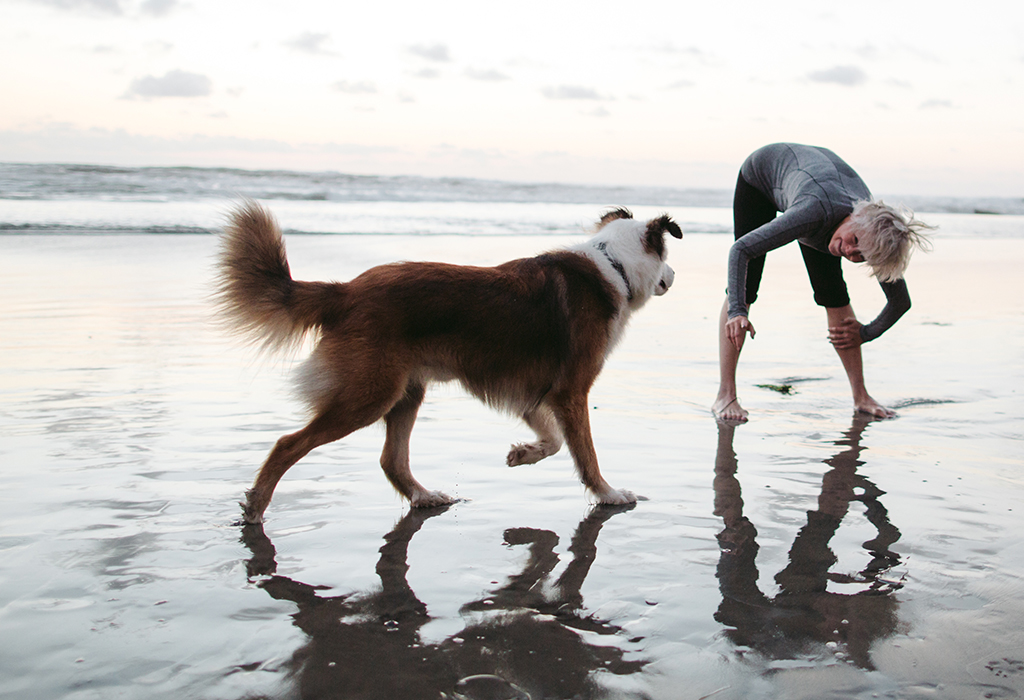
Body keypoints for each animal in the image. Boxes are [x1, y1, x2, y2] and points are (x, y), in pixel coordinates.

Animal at [216, 199, 679, 521]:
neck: (613, 266)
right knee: (287, 444)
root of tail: (345, 291)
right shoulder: (570, 391)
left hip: (406, 391)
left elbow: (553, 441)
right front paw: (607, 494)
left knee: (391, 460)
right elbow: (584, 452)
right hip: (370, 394)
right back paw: (257, 506)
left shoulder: (534, 393)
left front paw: (523, 454)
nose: (673, 278)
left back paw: (423, 497)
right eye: (668, 260)